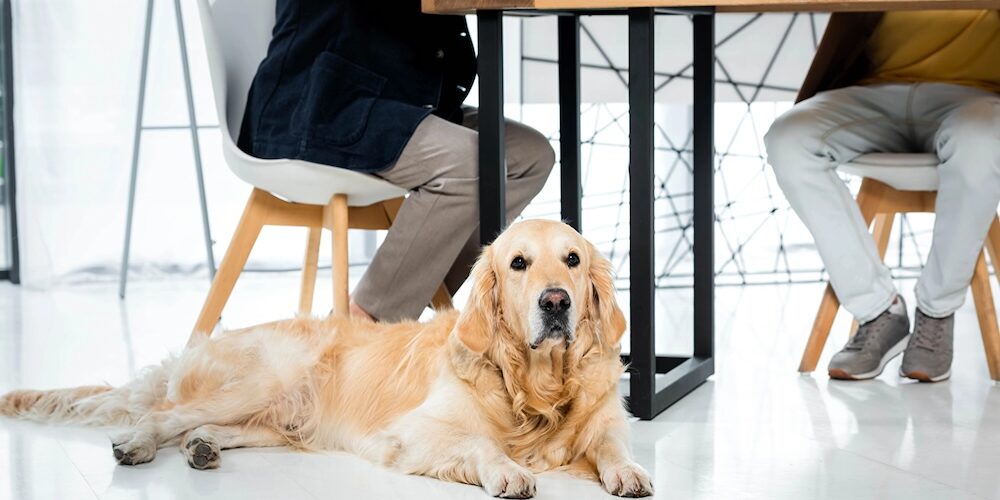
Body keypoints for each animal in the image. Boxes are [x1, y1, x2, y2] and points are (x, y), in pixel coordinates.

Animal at [0, 221, 652, 498]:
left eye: (572, 259)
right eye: (519, 264)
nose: (556, 302)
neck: (534, 386)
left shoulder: (603, 423)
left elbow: (609, 444)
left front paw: (627, 472)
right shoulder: (414, 433)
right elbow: (480, 444)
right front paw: (509, 470)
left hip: (283, 418)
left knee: (205, 428)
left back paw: (202, 448)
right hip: (262, 379)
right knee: (161, 417)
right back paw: (137, 444)